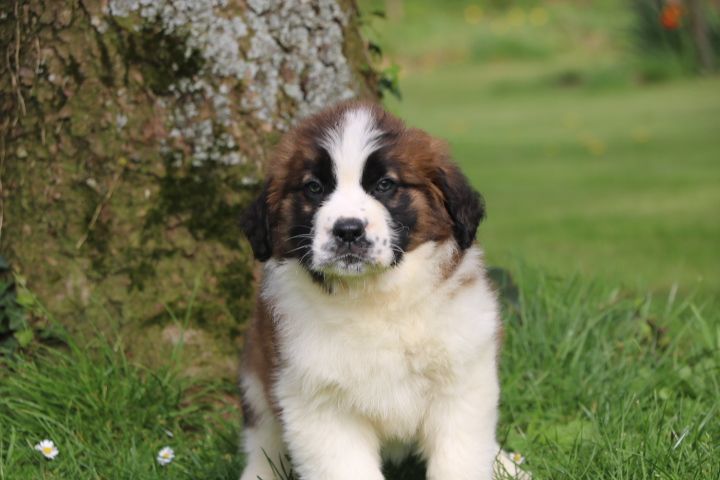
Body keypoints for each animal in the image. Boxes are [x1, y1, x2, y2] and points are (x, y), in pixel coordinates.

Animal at [239, 101, 526, 479]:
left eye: (385, 185)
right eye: (314, 188)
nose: (348, 231)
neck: (374, 297)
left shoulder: (462, 381)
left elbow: (461, 457)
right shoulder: (318, 403)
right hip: (256, 382)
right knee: (262, 440)